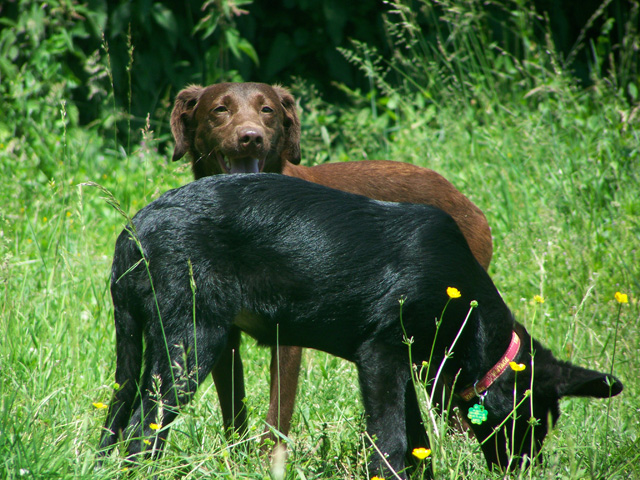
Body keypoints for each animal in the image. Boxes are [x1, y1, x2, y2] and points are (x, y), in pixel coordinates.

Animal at [97, 174, 624, 478]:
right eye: (534, 422)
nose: (523, 471)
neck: (463, 307)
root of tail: (133, 231)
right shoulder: (381, 357)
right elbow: (392, 443)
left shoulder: (404, 368)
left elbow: (416, 444)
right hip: (191, 345)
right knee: (143, 432)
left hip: (142, 346)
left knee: (118, 420)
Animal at [171, 84, 496, 444]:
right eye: (220, 109)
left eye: (267, 110)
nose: (251, 138)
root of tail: (470, 206)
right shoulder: (224, 336)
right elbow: (233, 413)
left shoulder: (287, 335)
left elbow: (277, 415)